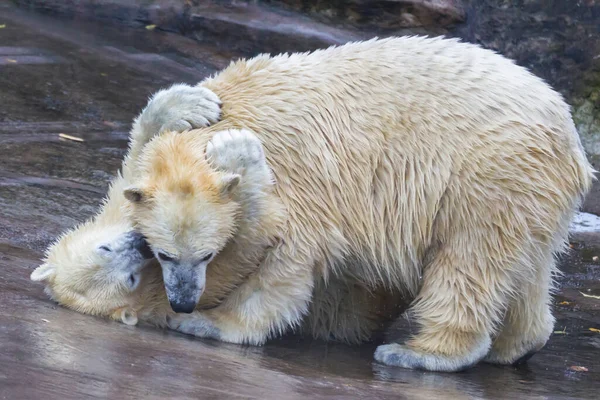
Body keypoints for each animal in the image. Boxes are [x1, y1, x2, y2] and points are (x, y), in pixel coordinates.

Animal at [120, 36, 596, 370]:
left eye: (205, 255)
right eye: (160, 253)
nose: (182, 301)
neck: (239, 111)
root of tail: (572, 141)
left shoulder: (300, 177)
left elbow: (286, 254)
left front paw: (209, 323)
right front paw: (185, 103)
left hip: (489, 174)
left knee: (470, 258)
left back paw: (419, 352)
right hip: (529, 191)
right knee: (526, 266)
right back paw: (516, 346)